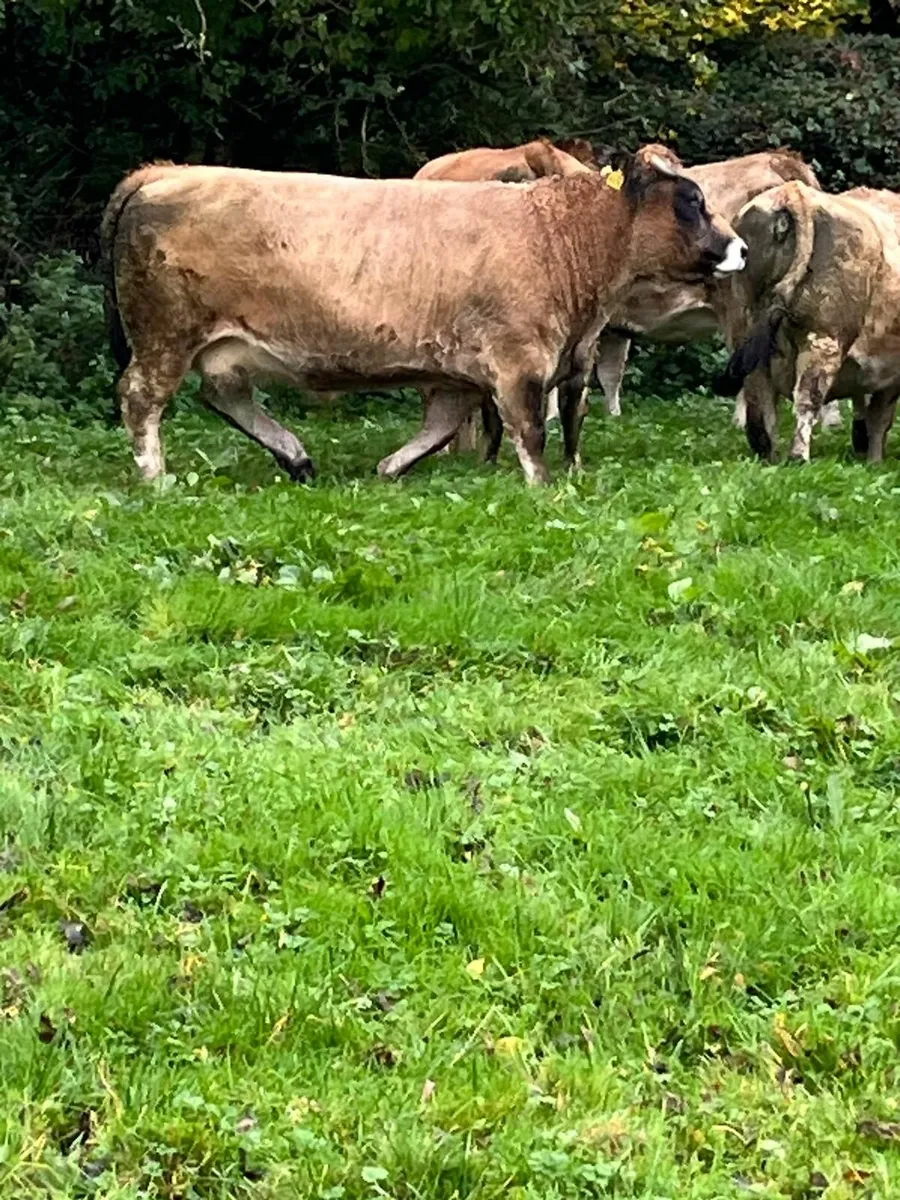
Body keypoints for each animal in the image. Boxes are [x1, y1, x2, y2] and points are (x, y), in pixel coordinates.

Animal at [101, 146, 746, 486]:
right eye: (691, 200)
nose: (739, 246)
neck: (560, 235)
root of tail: (167, 171)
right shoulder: (517, 360)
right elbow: (530, 429)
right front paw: (542, 487)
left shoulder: (462, 372)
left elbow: (440, 427)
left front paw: (390, 467)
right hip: (165, 335)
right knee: (140, 398)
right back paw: (155, 478)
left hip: (214, 347)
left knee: (224, 395)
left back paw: (296, 456)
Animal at [714, 180, 900, 463]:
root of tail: (793, 192)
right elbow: (880, 419)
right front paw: (874, 460)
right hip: (823, 338)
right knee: (806, 399)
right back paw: (798, 457)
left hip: (743, 328)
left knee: (759, 398)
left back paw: (768, 455)